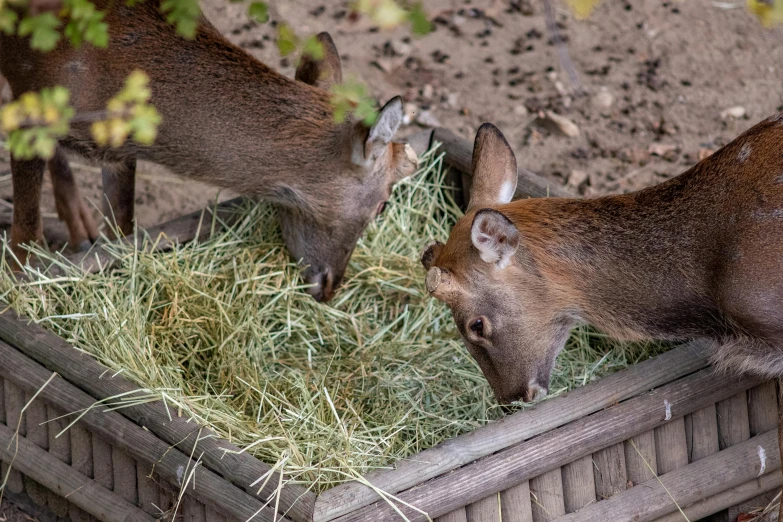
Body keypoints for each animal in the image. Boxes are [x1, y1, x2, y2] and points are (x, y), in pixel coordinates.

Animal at [0, 3, 416, 300]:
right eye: (383, 205)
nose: (330, 288)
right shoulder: (27, 106)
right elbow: (25, 234)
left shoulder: (118, 152)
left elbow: (122, 229)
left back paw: (78, 225)